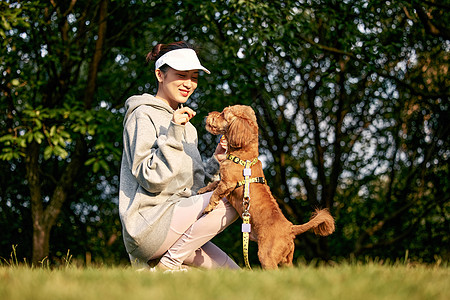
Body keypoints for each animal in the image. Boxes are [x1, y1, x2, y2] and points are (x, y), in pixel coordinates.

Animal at [199, 105, 336, 270]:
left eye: (223, 114)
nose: (209, 115)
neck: (244, 155)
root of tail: (290, 228)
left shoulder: (228, 183)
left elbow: (216, 192)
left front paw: (208, 208)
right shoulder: (223, 180)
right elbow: (213, 184)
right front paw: (202, 190)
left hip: (266, 256)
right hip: (287, 260)